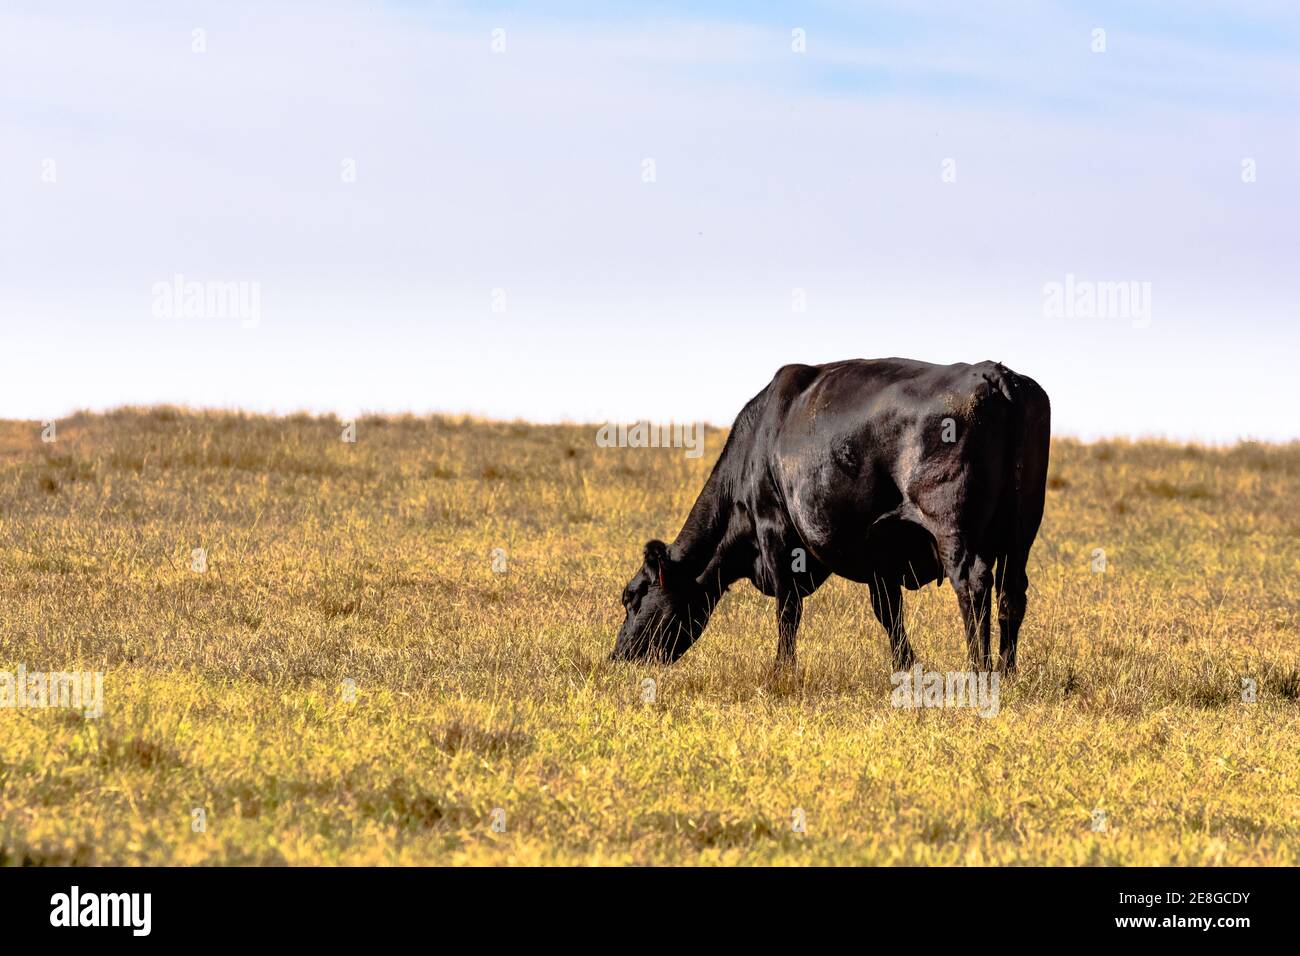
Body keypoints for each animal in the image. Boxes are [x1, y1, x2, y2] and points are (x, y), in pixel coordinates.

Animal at [610, 358, 1050, 673]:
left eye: (631, 597)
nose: (618, 658)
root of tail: (994, 372)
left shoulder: (775, 529)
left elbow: (788, 609)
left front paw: (782, 671)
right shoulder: (881, 554)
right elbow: (888, 613)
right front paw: (905, 667)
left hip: (954, 528)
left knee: (973, 586)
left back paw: (980, 671)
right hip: (1022, 529)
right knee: (1012, 592)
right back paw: (1007, 671)